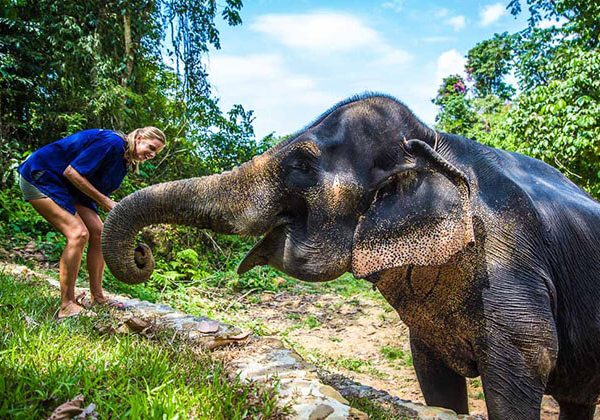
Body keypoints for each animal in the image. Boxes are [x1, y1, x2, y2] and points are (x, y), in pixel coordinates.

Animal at [103, 95, 600, 420]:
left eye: (301, 164)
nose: (143, 253)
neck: (434, 142)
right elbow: (434, 377)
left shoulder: (512, 261)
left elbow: (527, 357)